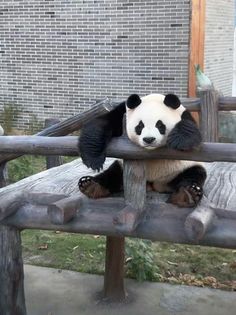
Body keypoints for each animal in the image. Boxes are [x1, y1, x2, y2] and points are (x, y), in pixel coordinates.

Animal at [78, 92, 206, 209]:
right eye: (140, 126)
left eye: (160, 125)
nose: (149, 139)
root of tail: (153, 184)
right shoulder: (122, 113)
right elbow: (102, 123)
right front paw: (93, 158)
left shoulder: (184, 115)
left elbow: (194, 131)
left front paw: (178, 139)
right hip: (121, 167)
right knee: (112, 175)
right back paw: (91, 185)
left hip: (179, 170)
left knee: (193, 175)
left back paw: (187, 194)